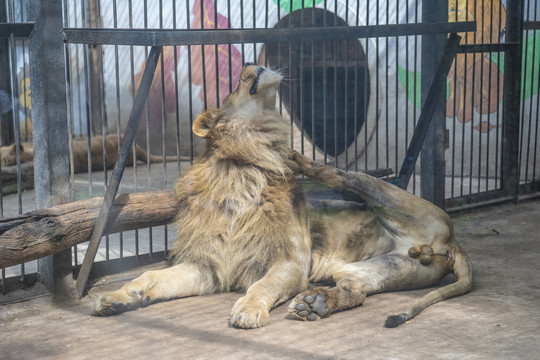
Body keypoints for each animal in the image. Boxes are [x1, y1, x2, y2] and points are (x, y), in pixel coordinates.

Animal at [94, 63, 472, 328]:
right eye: (233, 87)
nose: (250, 60)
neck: (240, 170)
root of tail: (451, 242)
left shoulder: (289, 261)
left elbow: (261, 286)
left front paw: (247, 311)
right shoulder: (209, 265)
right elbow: (150, 277)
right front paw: (114, 298)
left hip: (387, 194)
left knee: (345, 175)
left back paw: (296, 159)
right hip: (377, 268)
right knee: (355, 291)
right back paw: (316, 305)